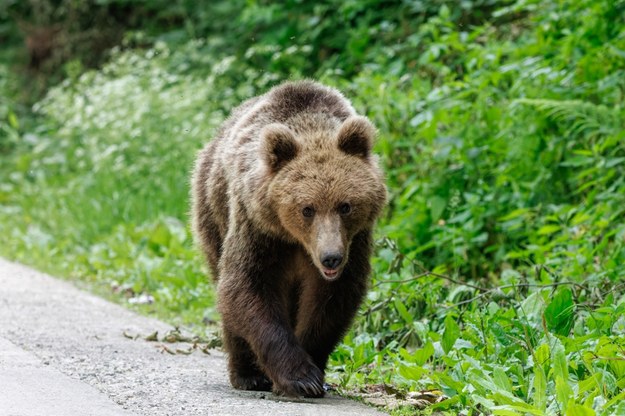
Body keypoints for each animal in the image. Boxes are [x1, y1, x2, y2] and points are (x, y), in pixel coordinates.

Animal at [190, 80, 386, 396]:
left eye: (345, 206)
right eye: (307, 208)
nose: (331, 257)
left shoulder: (354, 242)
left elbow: (332, 300)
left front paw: (313, 369)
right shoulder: (258, 229)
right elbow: (245, 286)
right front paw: (299, 377)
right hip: (212, 211)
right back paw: (247, 374)